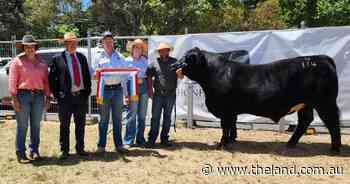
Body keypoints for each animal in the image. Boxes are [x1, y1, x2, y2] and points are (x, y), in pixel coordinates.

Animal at [172, 47, 342, 152]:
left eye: (187, 58)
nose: (173, 65)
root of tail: (320, 58)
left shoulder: (225, 109)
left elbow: (225, 126)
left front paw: (222, 144)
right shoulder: (231, 110)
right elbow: (232, 124)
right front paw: (232, 140)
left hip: (325, 102)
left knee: (332, 122)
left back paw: (335, 148)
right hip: (306, 104)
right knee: (305, 121)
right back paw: (290, 143)